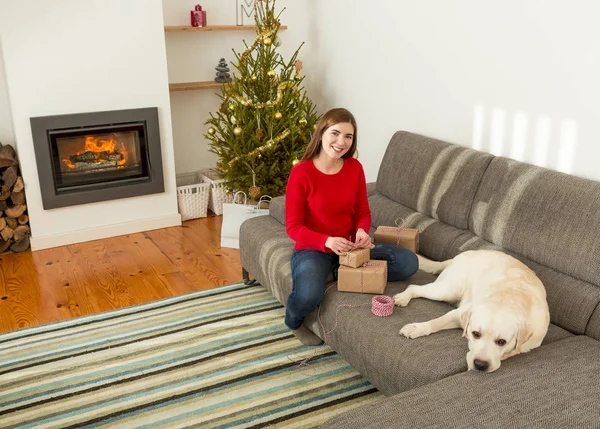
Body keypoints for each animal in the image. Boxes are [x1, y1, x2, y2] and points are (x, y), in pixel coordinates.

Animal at [392, 249, 552, 372]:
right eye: (475, 334)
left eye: (502, 342)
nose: (480, 365)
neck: (509, 298)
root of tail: (467, 252)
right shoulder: (458, 314)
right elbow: (437, 321)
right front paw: (417, 328)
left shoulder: (528, 345)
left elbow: (513, 352)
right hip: (447, 290)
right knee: (414, 287)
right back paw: (403, 297)